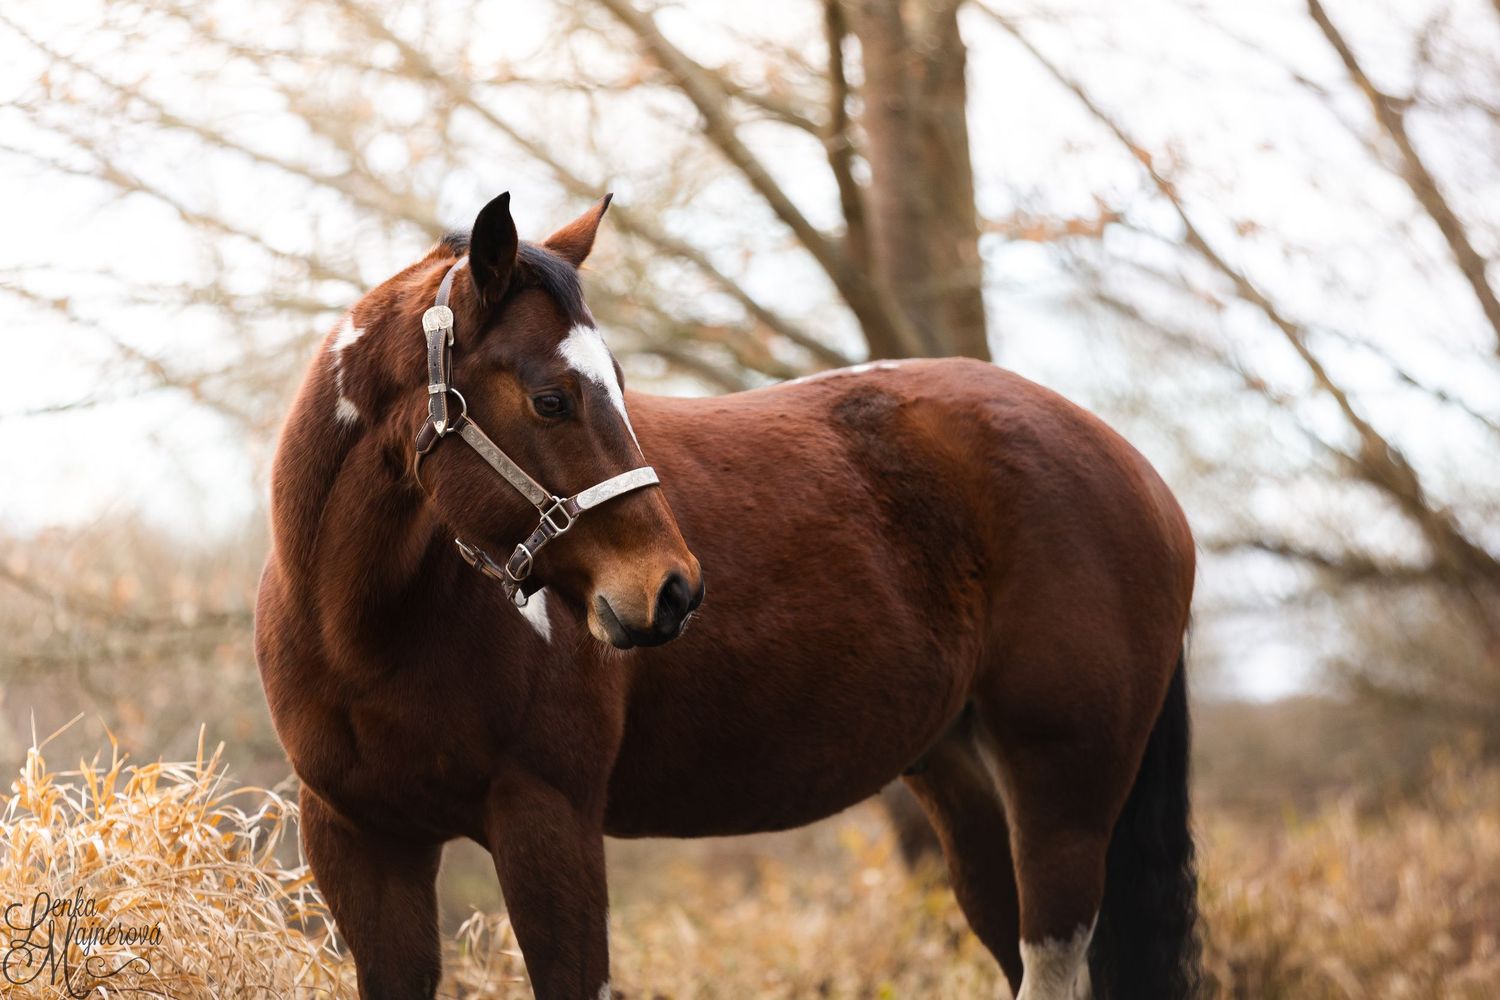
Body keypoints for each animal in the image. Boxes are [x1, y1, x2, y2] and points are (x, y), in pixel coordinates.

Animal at [255, 192, 1201, 1000]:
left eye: (619, 384)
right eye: (550, 398)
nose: (672, 591)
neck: (365, 635)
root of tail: (1140, 475)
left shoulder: (549, 826)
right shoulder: (363, 845)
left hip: (1064, 797)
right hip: (965, 788)